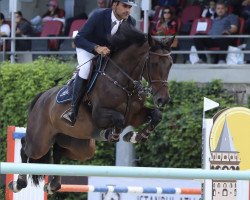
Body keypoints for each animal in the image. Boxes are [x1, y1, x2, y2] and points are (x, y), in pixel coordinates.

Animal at [7, 21, 172, 194]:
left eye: (170, 64)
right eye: (154, 64)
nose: (163, 99)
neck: (123, 82)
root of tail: (41, 97)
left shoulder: (135, 115)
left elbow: (156, 115)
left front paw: (134, 136)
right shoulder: (99, 114)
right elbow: (119, 120)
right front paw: (113, 135)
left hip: (80, 146)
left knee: (58, 150)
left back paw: (53, 185)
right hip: (41, 141)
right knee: (26, 146)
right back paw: (18, 183)